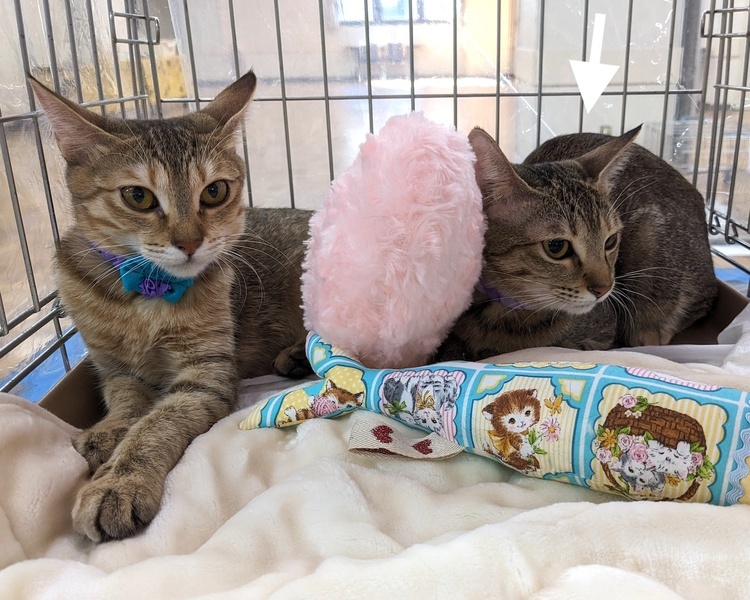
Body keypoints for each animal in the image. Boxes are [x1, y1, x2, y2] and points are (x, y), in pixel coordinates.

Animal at [30, 71, 312, 543]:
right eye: (138, 197)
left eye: (214, 191)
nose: (190, 242)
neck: (148, 295)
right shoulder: (114, 369)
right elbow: (125, 401)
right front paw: (109, 430)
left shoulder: (206, 374)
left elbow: (158, 421)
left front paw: (119, 482)